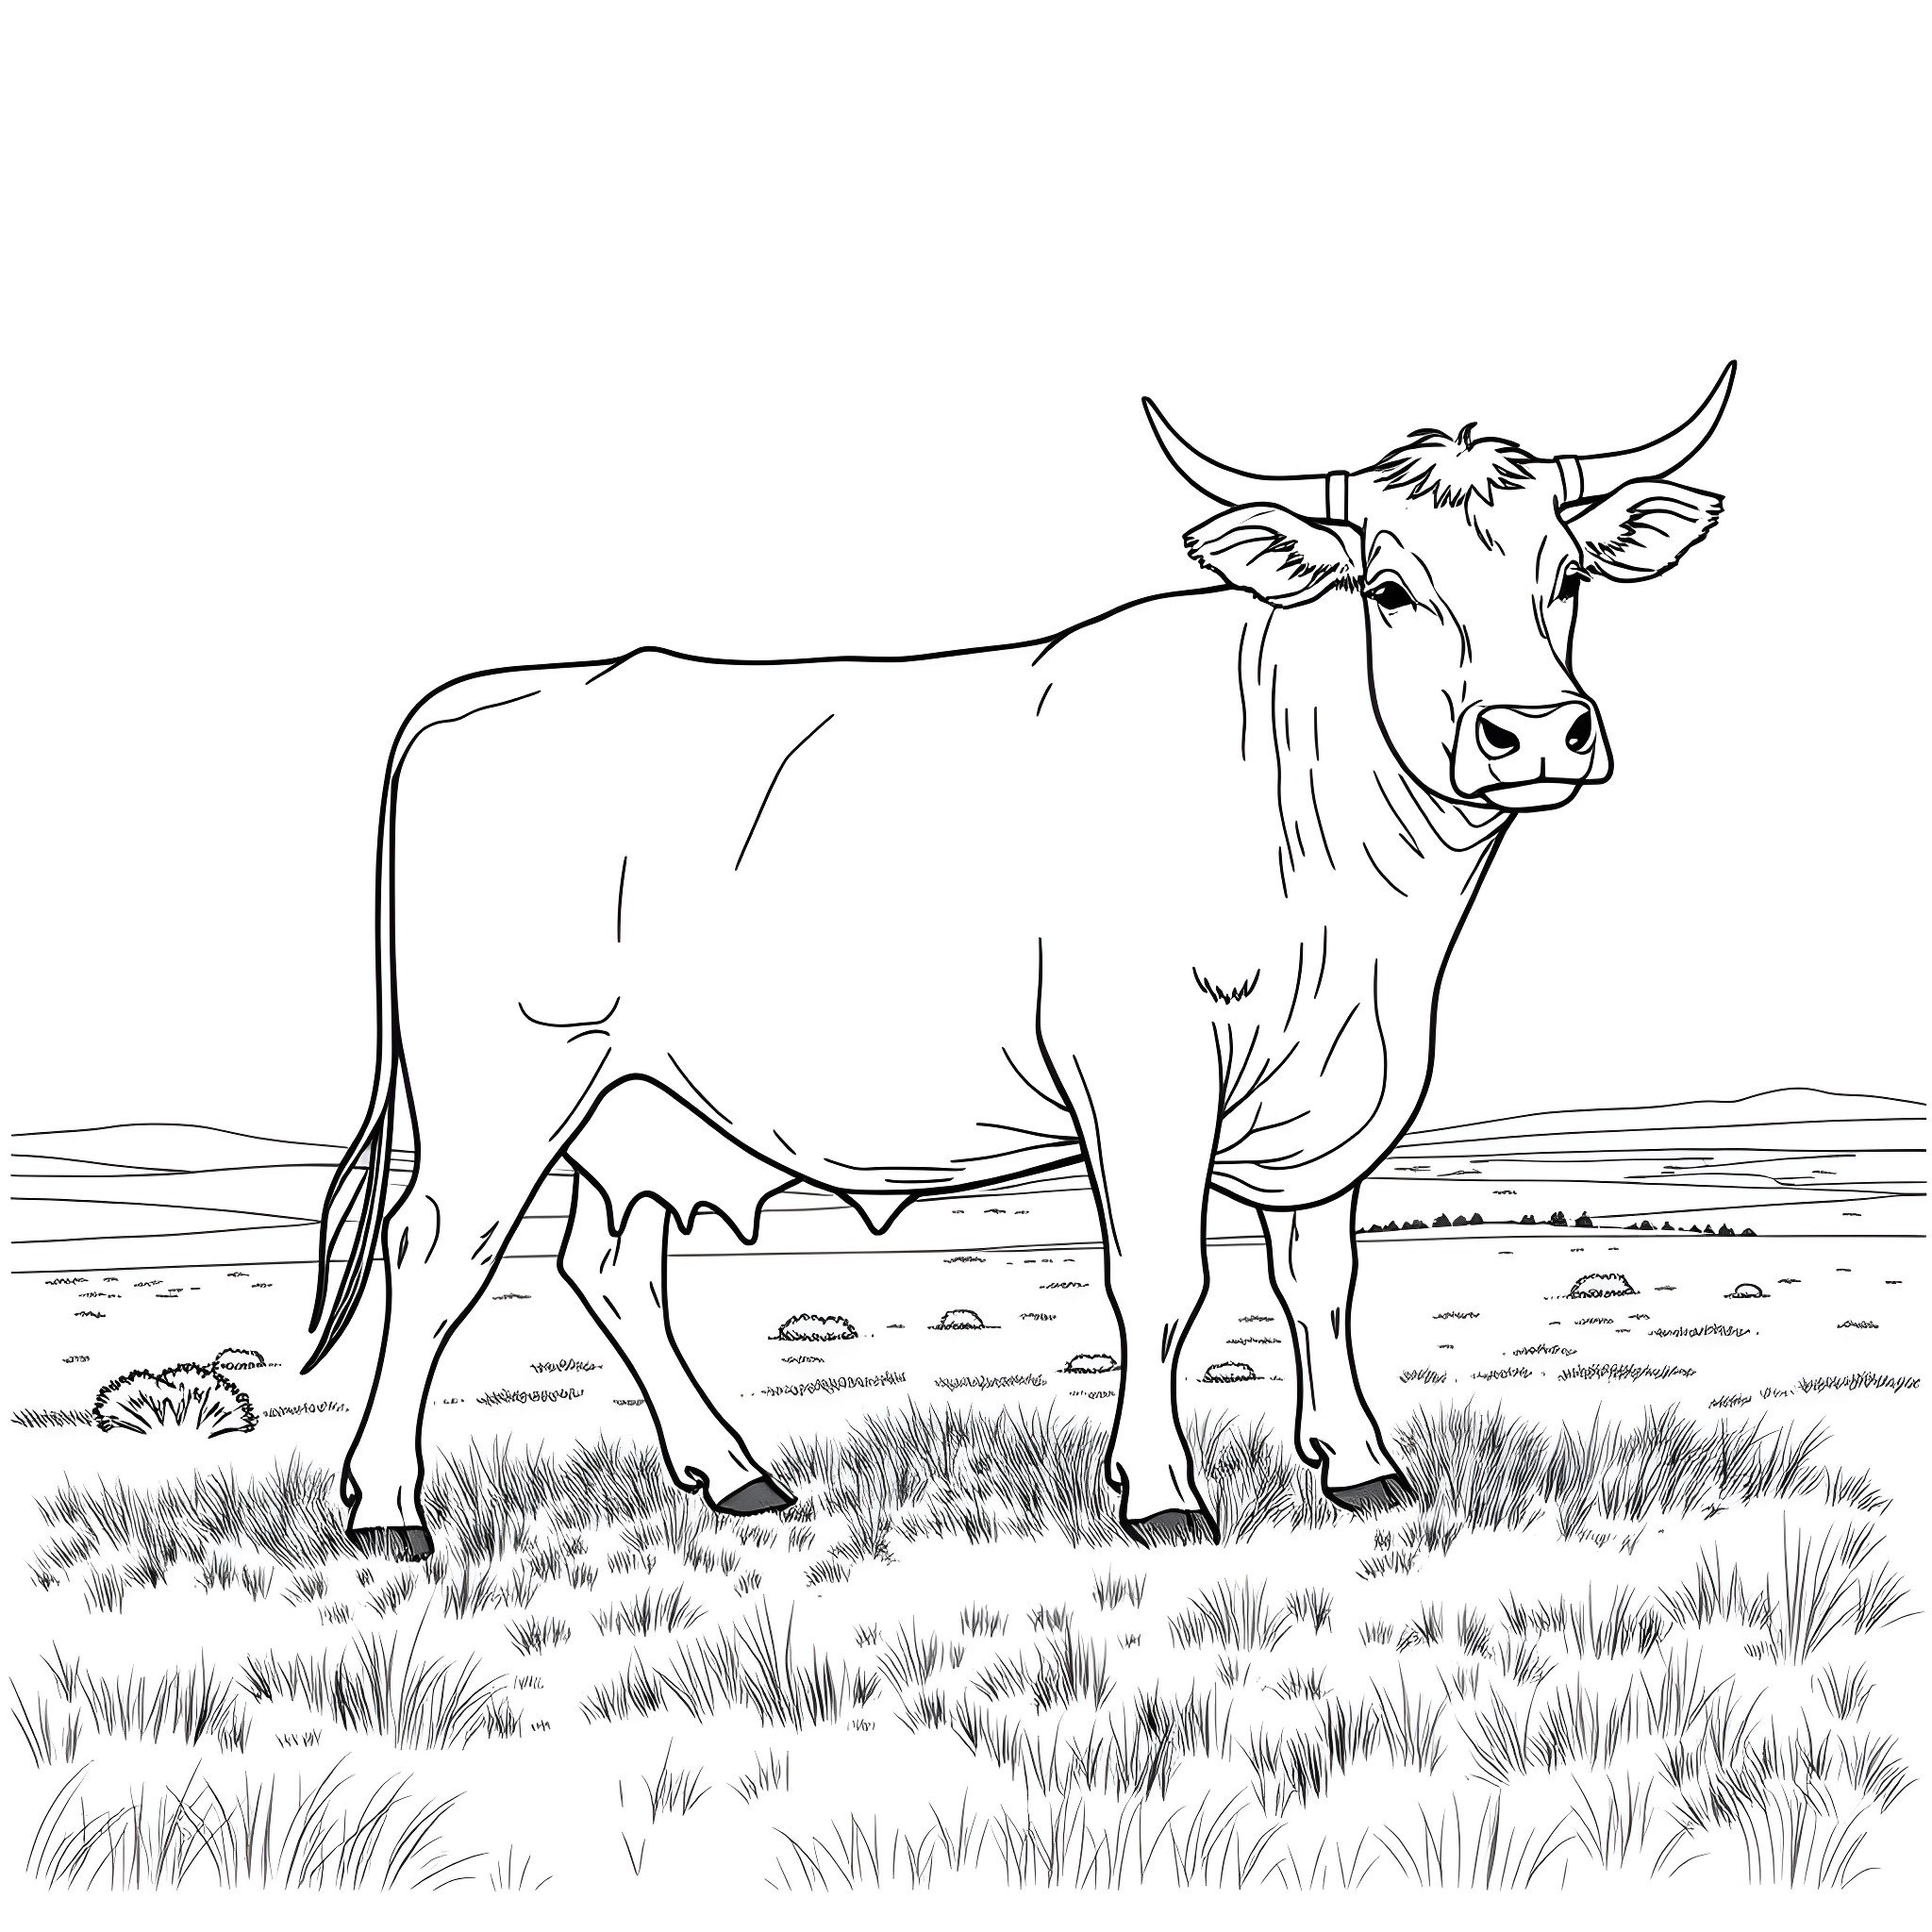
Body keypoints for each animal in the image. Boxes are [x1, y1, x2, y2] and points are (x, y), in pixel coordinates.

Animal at [307, 369, 1734, 1556]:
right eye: (1389, 588)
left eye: (1568, 575)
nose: (1534, 731)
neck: (1360, 916)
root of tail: (482, 694)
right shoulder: (1144, 1069)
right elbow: (1162, 1282)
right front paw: (1160, 1493)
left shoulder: (1336, 1095)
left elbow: (1319, 1283)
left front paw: (1363, 1468)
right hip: (504, 1083)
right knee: (433, 1258)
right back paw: (385, 1509)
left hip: (642, 1104)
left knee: (611, 1270)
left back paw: (739, 1475)